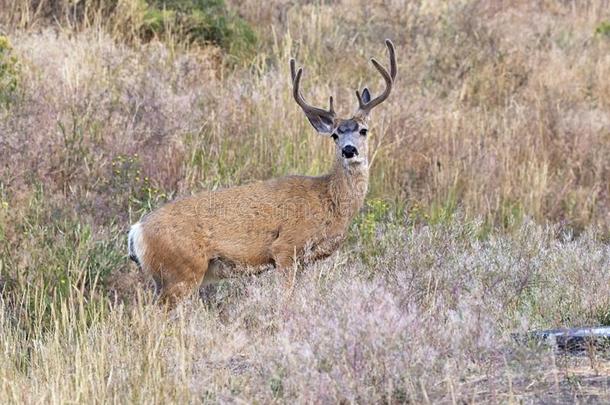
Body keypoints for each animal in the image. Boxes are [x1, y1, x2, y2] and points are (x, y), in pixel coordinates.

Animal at [126, 39, 396, 304]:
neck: (328, 199)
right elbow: (286, 300)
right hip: (181, 271)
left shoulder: (305, 261)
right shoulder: (286, 247)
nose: (349, 150)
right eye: (335, 135)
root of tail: (136, 232)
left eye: (363, 130)